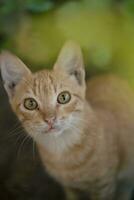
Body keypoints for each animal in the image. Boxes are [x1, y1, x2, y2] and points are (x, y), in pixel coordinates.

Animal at [0, 41, 134, 200]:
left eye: (64, 97)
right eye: (30, 103)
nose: (50, 119)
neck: (62, 151)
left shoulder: (104, 185)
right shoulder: (70, 188)